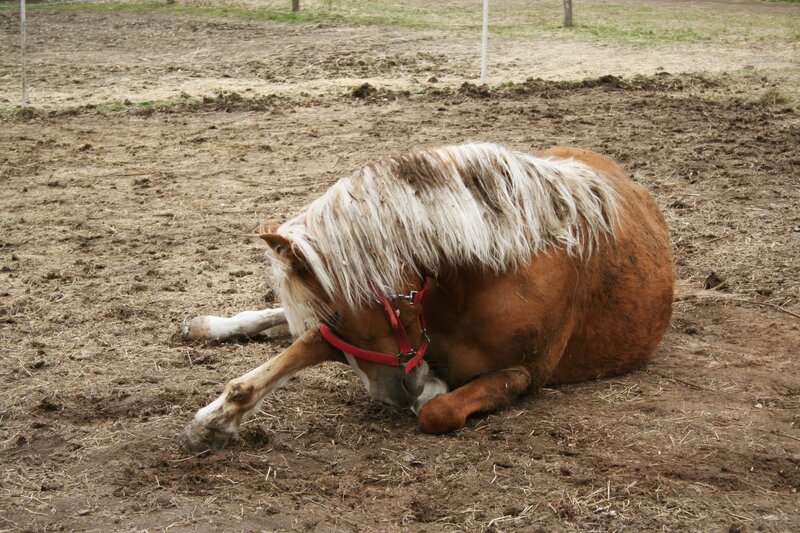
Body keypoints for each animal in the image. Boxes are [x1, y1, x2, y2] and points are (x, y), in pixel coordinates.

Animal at [180, 142, 674, 452]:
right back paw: (211, 326)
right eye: (333, 318)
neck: (486, 276)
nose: (393, 395)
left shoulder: (527, 373)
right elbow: (284, 357)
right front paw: (213, 421)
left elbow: (436, 410)